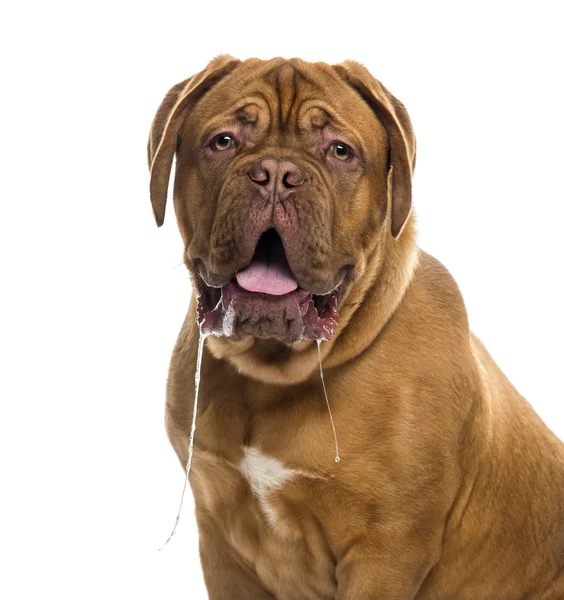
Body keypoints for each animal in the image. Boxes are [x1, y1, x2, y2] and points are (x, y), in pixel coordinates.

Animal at [149, 55, 564, 596]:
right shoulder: (221, 540)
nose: (276, 174)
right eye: (224, 141)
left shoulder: (385, 551)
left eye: (340, 151)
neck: (273, 375)